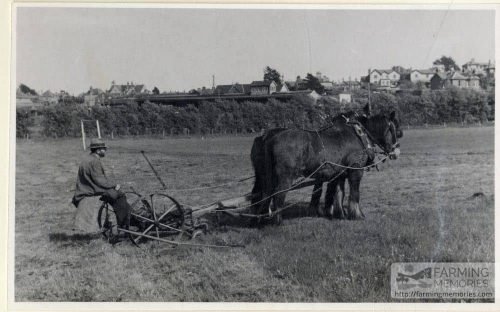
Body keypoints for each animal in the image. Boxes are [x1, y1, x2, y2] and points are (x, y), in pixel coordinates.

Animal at [250, 111, 402, 223]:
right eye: (392, 129)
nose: (396, 151)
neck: (359, 135)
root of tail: (270, 138)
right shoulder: (355, 171)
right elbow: (354, 194)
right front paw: (357, 215)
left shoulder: (340, 173)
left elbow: (339, 194)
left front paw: (340, 214)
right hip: (284, 176)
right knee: (278, 194)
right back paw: (278, 221)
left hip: (265, 175)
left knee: (260, 194)